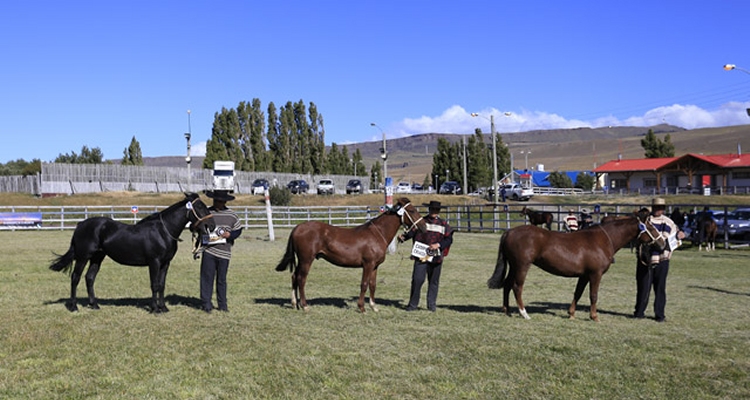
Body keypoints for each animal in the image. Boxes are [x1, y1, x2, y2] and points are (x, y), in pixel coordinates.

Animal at [50, 193, 216, 312]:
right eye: (200, 207)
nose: (212, 225)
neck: (163, 231)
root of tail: (80, 225)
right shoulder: (154, 262)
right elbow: (155, 284)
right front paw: (155, 309)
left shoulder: (165, 263)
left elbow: (162, 284)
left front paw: (163, 307)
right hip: (83, 257)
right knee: (75, 278)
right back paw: (74, 307)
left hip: (97, 257)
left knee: (89, 278)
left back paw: (94, 305)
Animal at [276, 197, 428, 312]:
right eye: (412, 210)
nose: (424, 226)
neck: (377, 234)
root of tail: (297, 227)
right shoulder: (368, 264)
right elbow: (364, 284)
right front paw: (362, 308)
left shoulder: (375, 266)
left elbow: (373, 284)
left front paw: (374, 307)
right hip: (306, 260)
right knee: (301, 279)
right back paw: (305, 306)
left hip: (301, 260)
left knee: (294, 276)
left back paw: (294, 303)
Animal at [490, 212, 668, 322]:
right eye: (651, 227)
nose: (662, 243)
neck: (604, 239)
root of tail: (509, 232)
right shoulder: (595, 274)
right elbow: (593, 295)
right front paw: (594, 317)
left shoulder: (584, 275)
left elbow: (578, 293)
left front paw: (571, 314)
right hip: (522, 266)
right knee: (517, 287)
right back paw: (524, 313)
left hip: (514, 266)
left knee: (507, 285)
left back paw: (506, 310)